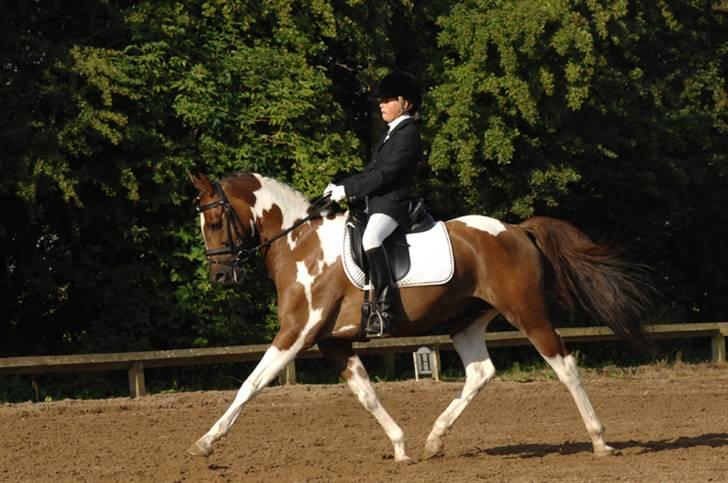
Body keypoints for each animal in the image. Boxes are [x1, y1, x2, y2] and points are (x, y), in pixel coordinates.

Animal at [186, 172, 656, 464]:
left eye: (215, 220)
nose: (220, 275)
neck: (300, 244)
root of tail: (515, 229)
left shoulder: (298, 332)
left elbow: (252, 383)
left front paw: (206, 443)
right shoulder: (333, 341)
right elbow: (366, 394)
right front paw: (401, 448)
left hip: (527, 311)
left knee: (565, 365)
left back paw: (599, 440)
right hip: (466, 320)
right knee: (481, 372)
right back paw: (435, 439)